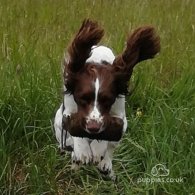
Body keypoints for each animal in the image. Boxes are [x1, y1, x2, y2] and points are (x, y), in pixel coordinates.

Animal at [53, 19, 160, 177]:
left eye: (107, 100)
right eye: (82, 99)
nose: (93, 128)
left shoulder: (119, 115)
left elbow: (108, 134)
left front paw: (98, 151)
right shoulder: (68, 111)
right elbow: (74, 126)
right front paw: (83, 151)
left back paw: (105, 165)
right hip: (58, 122)